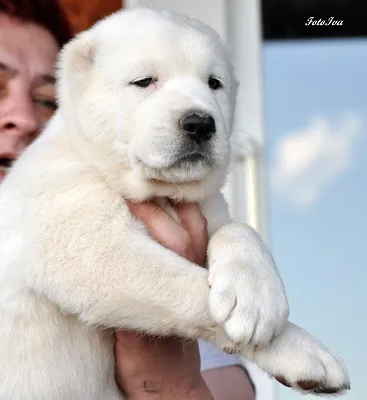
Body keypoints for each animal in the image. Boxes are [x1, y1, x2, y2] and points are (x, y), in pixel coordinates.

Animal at [0, 7, 350, 400]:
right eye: (144, 81)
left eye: (214, 83)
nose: (200, 124)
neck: (161, 192)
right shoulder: (85, 243)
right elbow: (189, 288)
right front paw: (301, 350)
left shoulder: (210, 210)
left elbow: (239, 230)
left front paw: (255, 296)